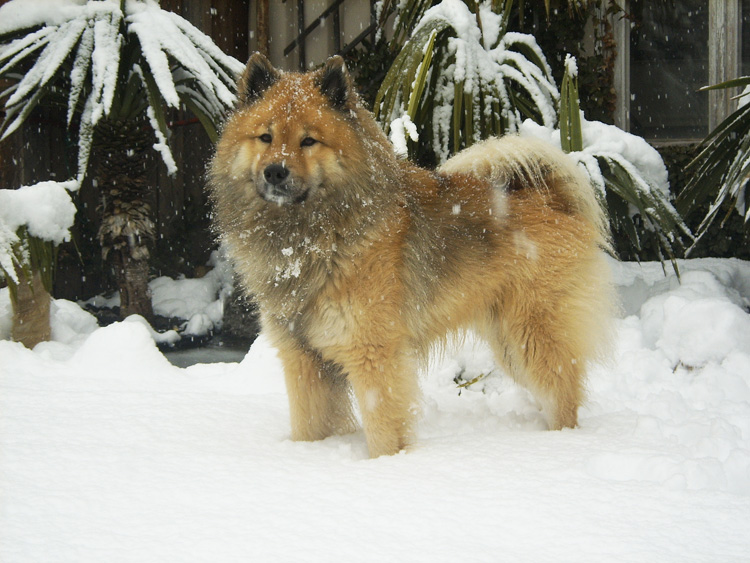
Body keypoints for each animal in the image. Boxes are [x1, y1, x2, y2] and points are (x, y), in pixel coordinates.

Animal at [207, 53, 616, 458]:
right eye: (265, 137)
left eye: (309, 141)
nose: (275, 172)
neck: (310, 238)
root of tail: (552, 198)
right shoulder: (303, 358)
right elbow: (310, 427)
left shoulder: (373, 353)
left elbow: (383, 429)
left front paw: (388, 465)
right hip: (508, 341)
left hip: (532, 334)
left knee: (563, 393)